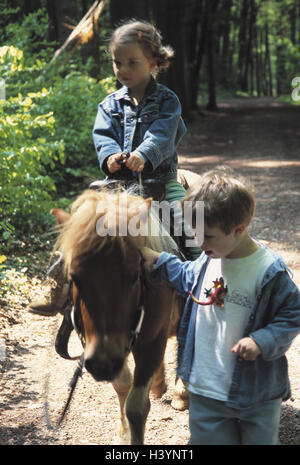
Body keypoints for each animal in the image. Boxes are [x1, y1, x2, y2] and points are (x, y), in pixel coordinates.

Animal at [52, 188, 186, 442]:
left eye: (134, 275)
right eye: (75, 278)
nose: (102, 364)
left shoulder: (152, 341)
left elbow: (137, 406)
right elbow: (123, 385)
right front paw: (123, 433)